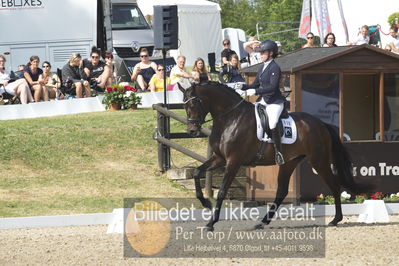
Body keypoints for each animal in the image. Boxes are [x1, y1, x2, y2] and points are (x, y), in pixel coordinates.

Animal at [178, 82, 372, 232]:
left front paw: (211, 223)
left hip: (319, 161)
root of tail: (321, 124)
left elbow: (223, 191)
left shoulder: (233, 161)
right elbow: (197, 172)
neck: (230, 119)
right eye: (184, 106)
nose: (192, 131)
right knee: (281, 191)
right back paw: (262, 222)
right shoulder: (219, 158)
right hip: (289, 163)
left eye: (194, 105)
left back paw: (335, 219)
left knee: (334, 184)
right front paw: (205, 203)